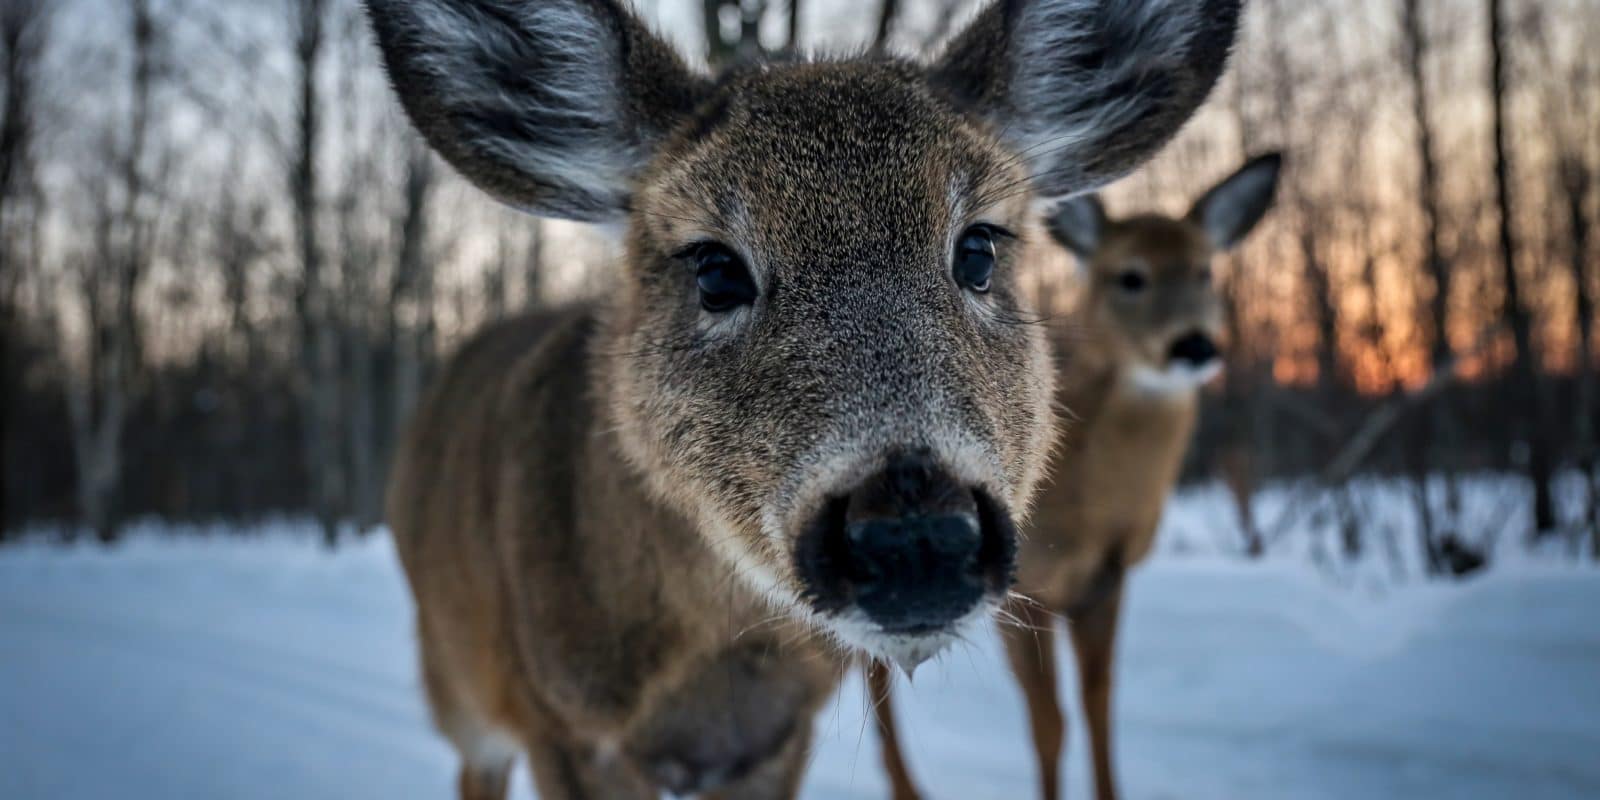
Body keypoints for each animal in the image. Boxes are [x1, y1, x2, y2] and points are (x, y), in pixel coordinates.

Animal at [368, 3, 1241, 796]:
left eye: (978, 248)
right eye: (715, 268)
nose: (916, 532)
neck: (713, 673)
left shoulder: (782, 736)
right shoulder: (565, 726)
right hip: (456, 681)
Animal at [870, 151, 1280, 800]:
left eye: (1205, 271)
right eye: (1129, 276)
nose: (1193, 345)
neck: (1085, 500)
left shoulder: (1104, 579)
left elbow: (1098, 708)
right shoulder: (1027, 586)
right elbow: (1049, 722)